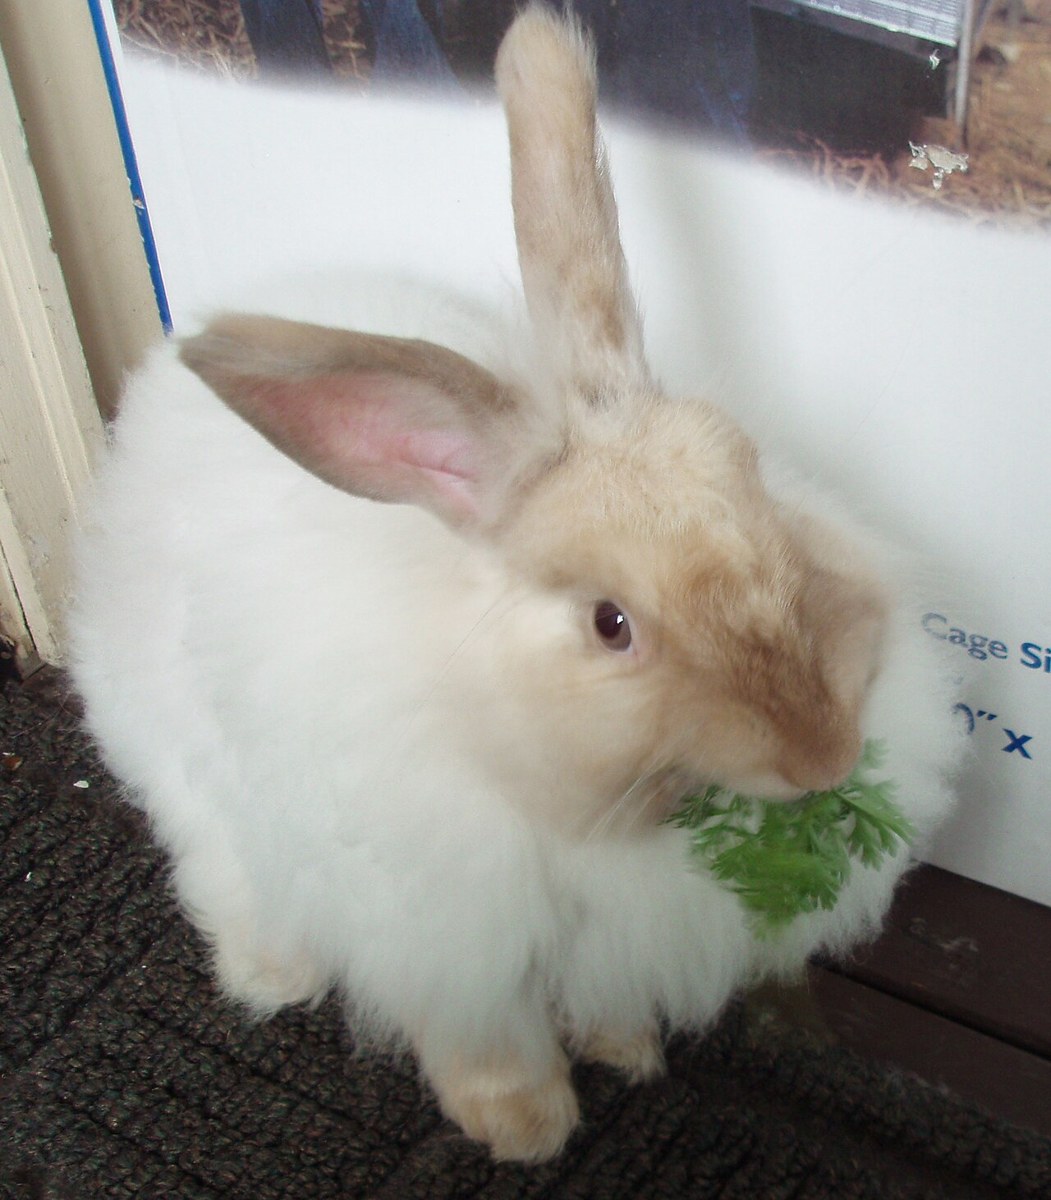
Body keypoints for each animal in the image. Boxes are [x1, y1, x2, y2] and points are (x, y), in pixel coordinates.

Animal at [68, 5, 962, 1164]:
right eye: (610, 623)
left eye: (762, 497)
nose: (822, 756)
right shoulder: (441, 932)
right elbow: (482, 1034)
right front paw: (524, 1127)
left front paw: (626, 1052)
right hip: (181, 744)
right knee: (215, 848)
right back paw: (273, 973)